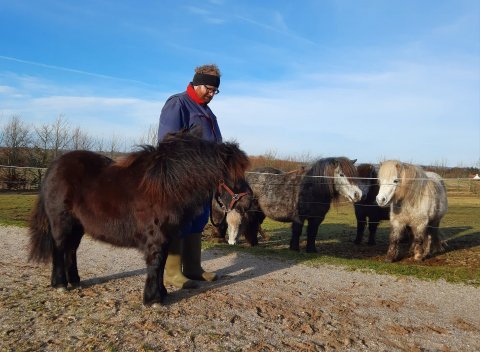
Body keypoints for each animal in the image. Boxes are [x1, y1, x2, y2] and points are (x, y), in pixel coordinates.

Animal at [27, 129, 249, 306]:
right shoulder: (156, 237)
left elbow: (161, 265)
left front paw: (162, 294)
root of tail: (55, 166)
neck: (167, 186)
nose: (248, 202)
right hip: (62, 222)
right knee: (59, 248)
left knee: (71, 250)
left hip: (77, 226)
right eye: (233, 176)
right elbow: (156, 264)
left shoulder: (166, 237)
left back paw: (75, 280)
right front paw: (153, 299)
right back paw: (60, 284)